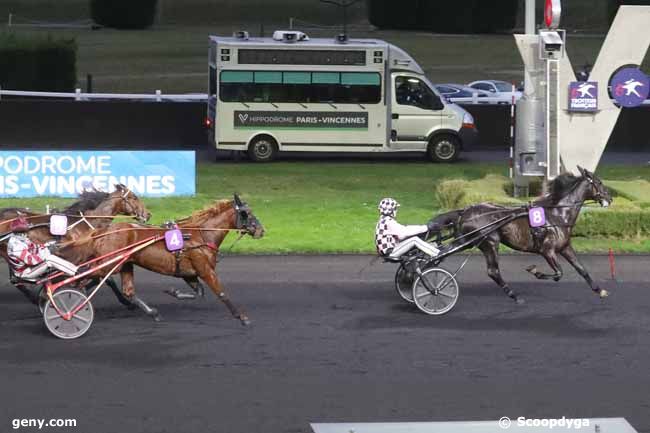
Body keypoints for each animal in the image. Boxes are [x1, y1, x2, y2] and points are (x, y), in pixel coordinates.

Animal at [60, 195, 264, 324]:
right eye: (247, 213)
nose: (261, 230)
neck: (200, 235)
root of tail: (102, 231)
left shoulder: (189, 274)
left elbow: (198, 292)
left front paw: (173, 291)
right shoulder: (205, 269)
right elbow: (221, 293)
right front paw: (242, 317)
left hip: (124, 264)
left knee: (127, 291)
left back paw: (153, 313)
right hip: (109, 264)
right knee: (82, 276)